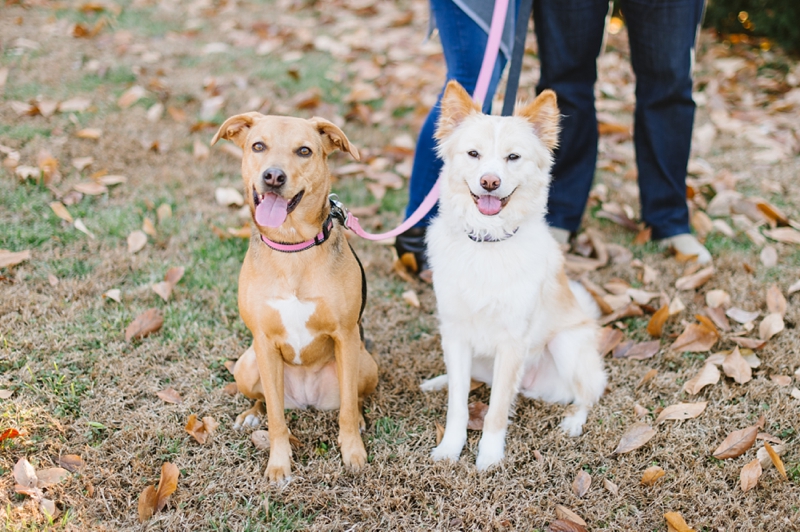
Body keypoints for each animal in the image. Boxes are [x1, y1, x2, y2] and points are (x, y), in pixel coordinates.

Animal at [211, 112, 376, 482]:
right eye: (258, 146)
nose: (273, 176)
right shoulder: (264, 342)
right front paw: (279, 463)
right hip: (247, 365)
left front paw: (353, 452)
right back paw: (251, 414)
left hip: (365, 363)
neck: (292, 248)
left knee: (353, 399)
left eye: (304, 151)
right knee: (264, 400)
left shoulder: (346, 336)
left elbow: (346, 408)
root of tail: (306, 400)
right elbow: (276, 417)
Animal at [422, 79, 604, 470]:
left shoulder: (512, 343)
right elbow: (458, 403)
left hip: (566, 346)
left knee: (586, 395)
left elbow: (496, 410)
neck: (487, 241)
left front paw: (489, 458)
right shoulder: (456, 334)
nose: (490, 181)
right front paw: (450, 448)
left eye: (513, 158)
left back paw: (572, 422)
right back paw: (437, 382)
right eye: (473, 154)